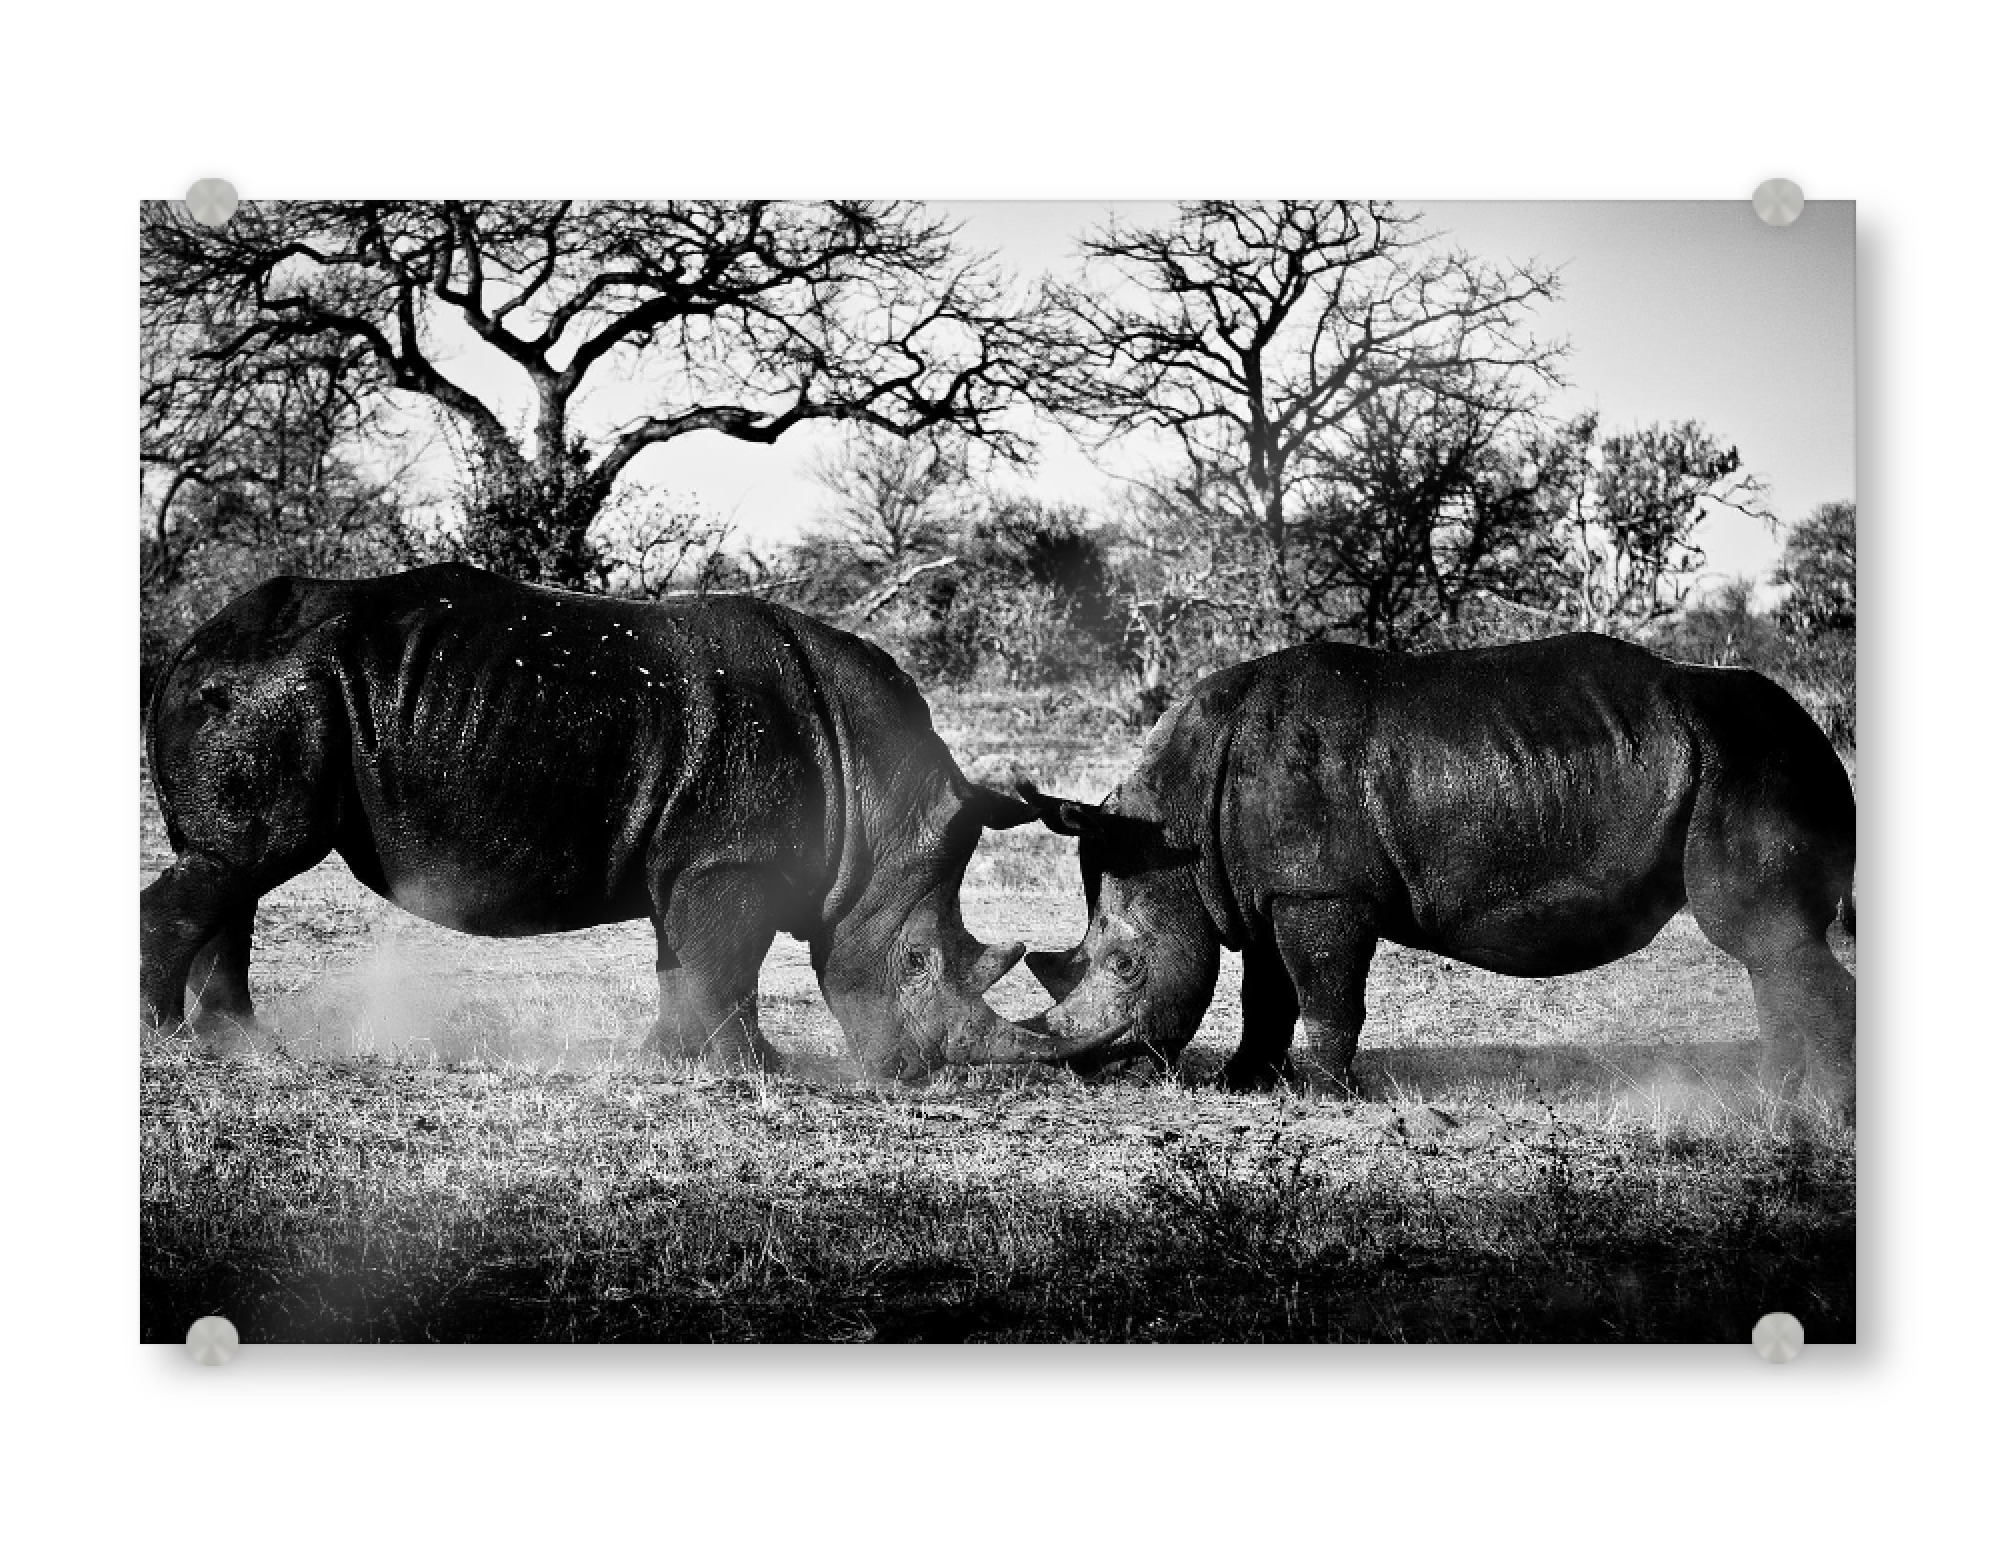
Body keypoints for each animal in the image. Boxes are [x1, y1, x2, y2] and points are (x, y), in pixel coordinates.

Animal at [141, 562, 1100, 1078]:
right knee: (246, 861)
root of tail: (191, 644)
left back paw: (242, 1047)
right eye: (915, 961)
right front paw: (757, 1072)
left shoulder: (699, 860)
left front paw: (670, 1062)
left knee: (237, 868)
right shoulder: (734, 860)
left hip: (269, 692)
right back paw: (164, 1043)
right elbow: (727, 965)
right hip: (273, 692)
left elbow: (688, 962)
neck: (873, 793)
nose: (915, 1073)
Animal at [1014, 634, 1857, 1117]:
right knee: (1768, 951)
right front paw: (1243, 1085)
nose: (1098, 1073)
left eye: (1125, 966)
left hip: (1749, 763)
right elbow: (1267, 994)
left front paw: (1328, 1097)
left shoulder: (1321, 893)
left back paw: (1819, 1118)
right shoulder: (1270, 889)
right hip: (1745, 759)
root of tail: (1816, 734)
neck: (1176, 826)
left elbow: (1325, 996)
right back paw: (1773, 1101)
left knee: (1765, 937)